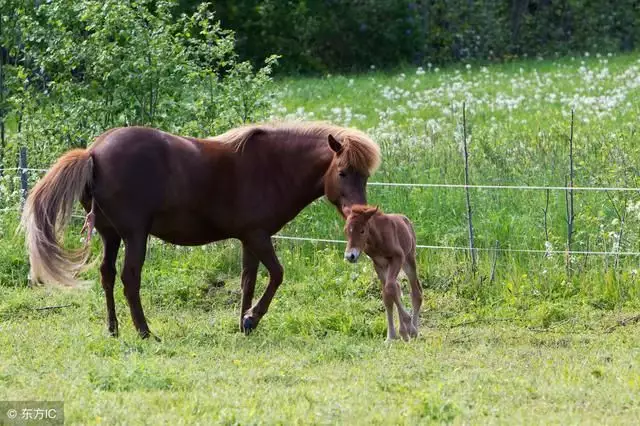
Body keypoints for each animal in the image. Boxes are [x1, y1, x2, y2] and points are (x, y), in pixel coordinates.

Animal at [21, 120, 380, 340]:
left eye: (364, 175)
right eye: (343, 172)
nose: (361, 214)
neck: (271, 166)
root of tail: (94, 152)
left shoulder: (249, 239)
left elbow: (248, 281)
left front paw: (243, 322)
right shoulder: (259, 236)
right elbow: (277, 275)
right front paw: (252, 318)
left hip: (110, 235)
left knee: (107, 275)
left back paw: (113, 329)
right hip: (135, 235)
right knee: (129, 278)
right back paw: (145, 332)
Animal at [344, 205, 420, 342]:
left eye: (362, 231)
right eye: (346, 230)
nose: (350, 256)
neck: (377, 239)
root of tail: (405, 219)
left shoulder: (397, 258)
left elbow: (390, 289)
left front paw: (408, 327)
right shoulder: (378, 264)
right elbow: (387, 295)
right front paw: (391, 336)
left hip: (409, 259)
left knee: (416, 292)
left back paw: (414, 330)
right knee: (397, 288)